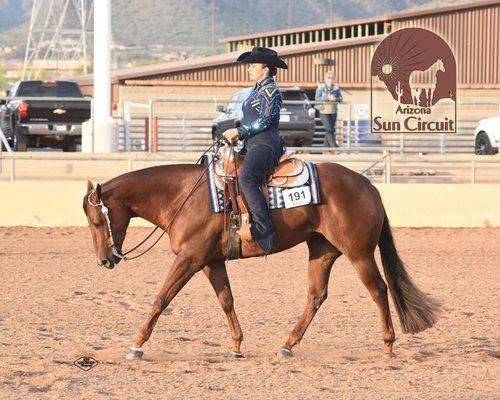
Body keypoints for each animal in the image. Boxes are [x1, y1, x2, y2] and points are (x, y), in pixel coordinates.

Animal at [82, 161, 438, 360]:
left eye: (97, 221)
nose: (103, 261)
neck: (184, 196)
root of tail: (369, 186)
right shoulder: (210, 261)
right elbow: (226, 300)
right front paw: (237, 346)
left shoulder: (189, 259)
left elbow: (161, 298)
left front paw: (136, 345)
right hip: (322, 250)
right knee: (316, 296)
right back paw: (288, 345)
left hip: (359, 253)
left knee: (379, 289)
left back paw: (388, 345)